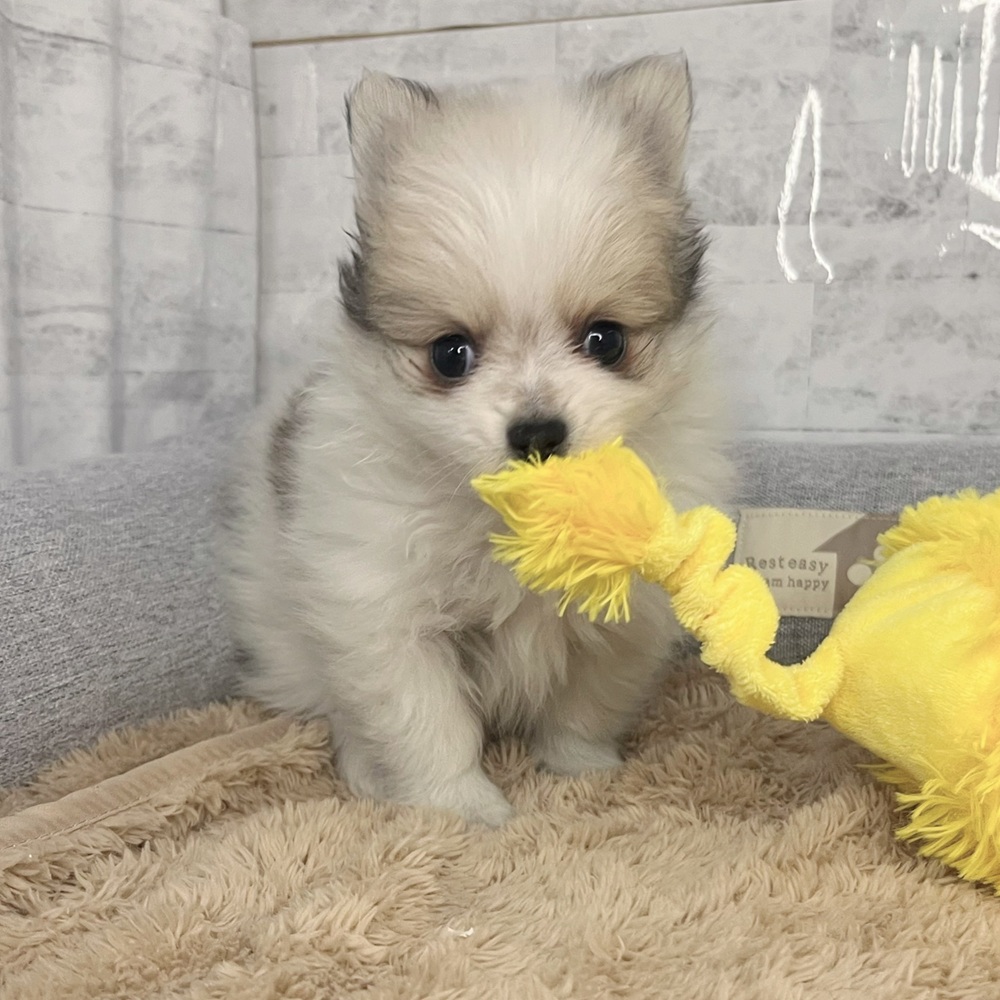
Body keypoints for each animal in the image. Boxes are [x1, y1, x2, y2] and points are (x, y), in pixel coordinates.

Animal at [219, 56, 732, 826]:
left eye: (606, 340)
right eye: (449, 354)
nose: (538, 431)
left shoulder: (620, 624)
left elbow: (584, 708)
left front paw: (581, 771)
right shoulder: (385, 613)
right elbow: (426, 722)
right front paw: (461, 806)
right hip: (292, 636)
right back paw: (366, 769)